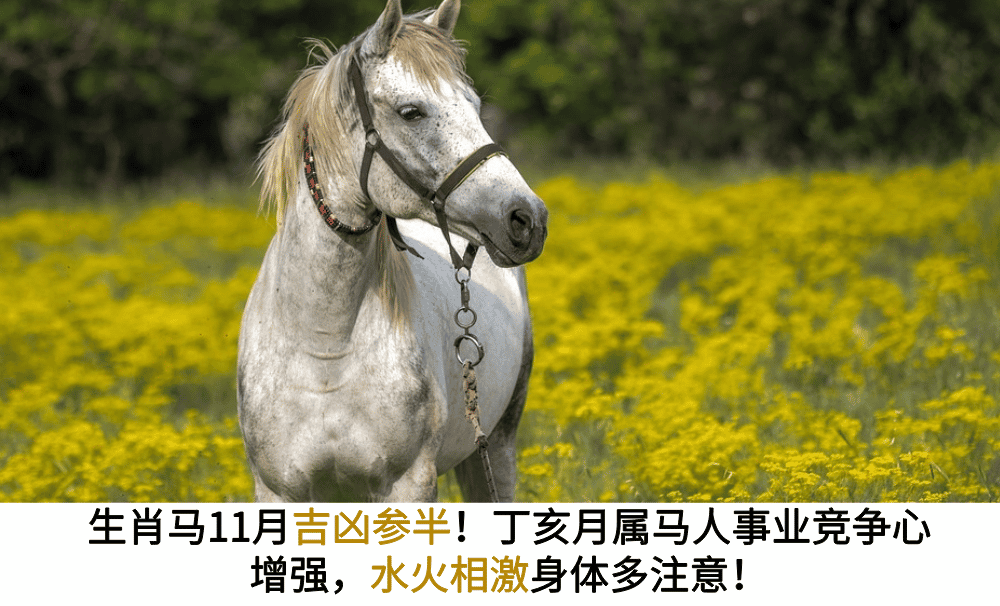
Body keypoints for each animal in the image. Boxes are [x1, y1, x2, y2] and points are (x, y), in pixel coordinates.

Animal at [237, 0, 548, 502]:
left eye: (475, 105)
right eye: (411, 112)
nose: (528, 219)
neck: (325, 348)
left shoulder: (407, 484)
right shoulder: (280, 490)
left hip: (497, 445)